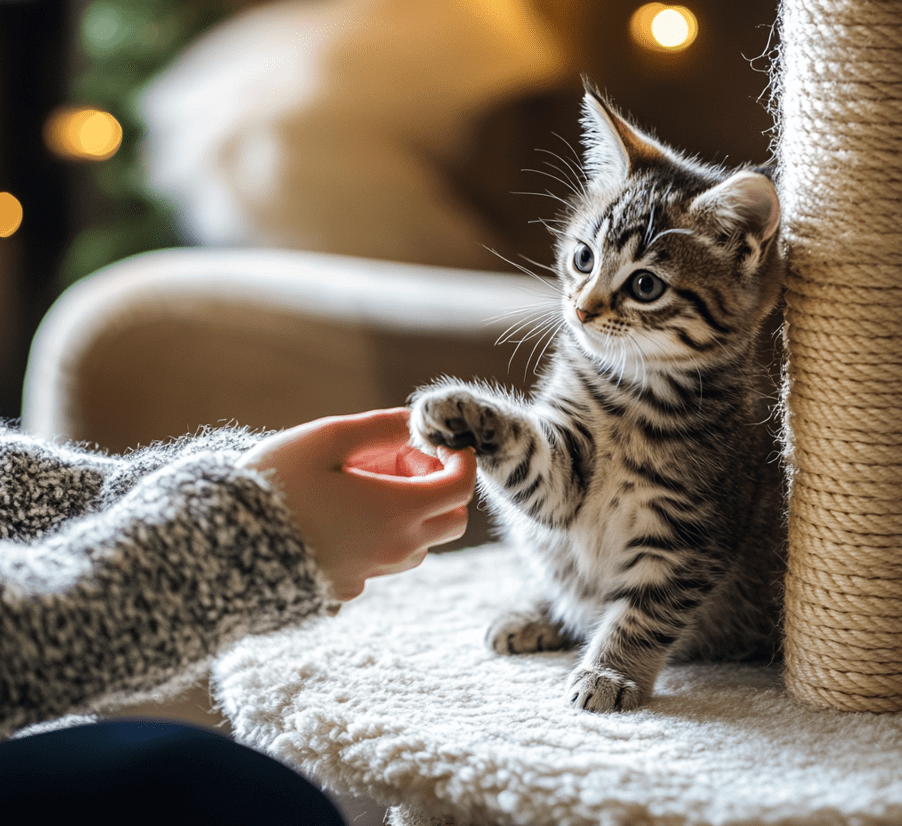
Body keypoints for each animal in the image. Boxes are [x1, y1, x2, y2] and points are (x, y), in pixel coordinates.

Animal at [410, 87, 784, 712]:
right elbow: (531, 459)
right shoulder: (565, 478)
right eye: (583, 257)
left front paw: (611, 673)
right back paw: (536, 614)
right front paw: (461, 411)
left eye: (645, 285)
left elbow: (646, 610)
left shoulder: (691, 531)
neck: (630, 398)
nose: (582, 309)